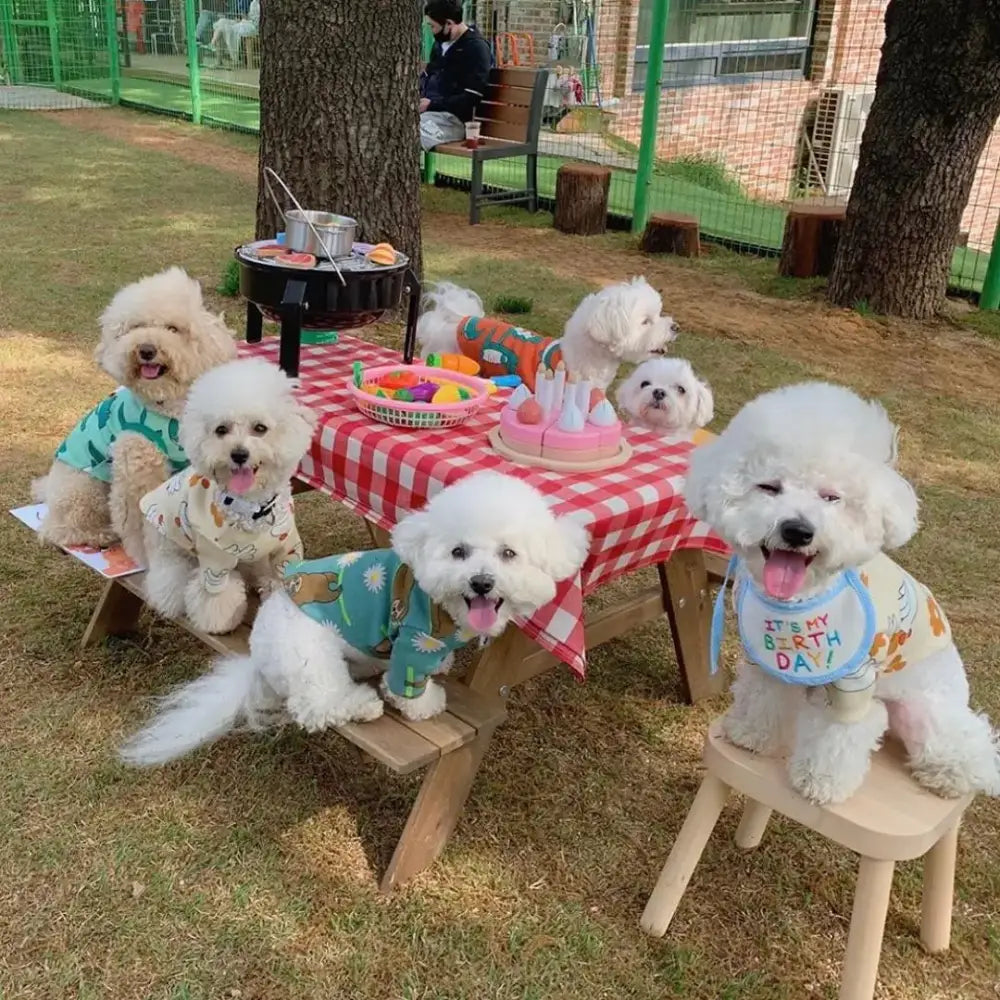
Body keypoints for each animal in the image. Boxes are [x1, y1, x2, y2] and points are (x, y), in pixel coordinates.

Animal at [32, 266, 236, 564]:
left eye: (173, 329)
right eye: (136, 327)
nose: (146, 350)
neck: (166, 406)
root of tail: (48, 491)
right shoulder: (136, 467)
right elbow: (137, 519)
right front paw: (146, 555)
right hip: (84, 488)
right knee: (59, 529)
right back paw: (98, 535)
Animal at [118, 472, 588, 768]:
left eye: (509, 553)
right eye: (458, 552)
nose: (482, 582)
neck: (447, 604)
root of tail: (256, 653)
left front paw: (446, 665)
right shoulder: (414, 640)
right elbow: (408, 688)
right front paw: (425, 703)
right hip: (313, 655)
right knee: (316, 706)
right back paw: (362, 704)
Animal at [141, 362, 316, 632]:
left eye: (260, 428)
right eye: (221, 430)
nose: (239, 454)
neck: (253, 508)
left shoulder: (286, 546)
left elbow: (283, 576)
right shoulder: (215, 558)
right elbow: (215, 597)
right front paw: (219, 621)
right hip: (168, 547)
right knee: (166, 579)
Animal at [684, 380, 1000, 804]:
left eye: (831, 497)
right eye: (769, 486)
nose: (797, 530)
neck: (799, 599)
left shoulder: (855, 681)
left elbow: (837, 737)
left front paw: (820, 781)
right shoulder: (767, 661)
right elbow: (762, 699)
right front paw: (750, 734)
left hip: (926, 709)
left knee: (967, 742)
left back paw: (953, 776)